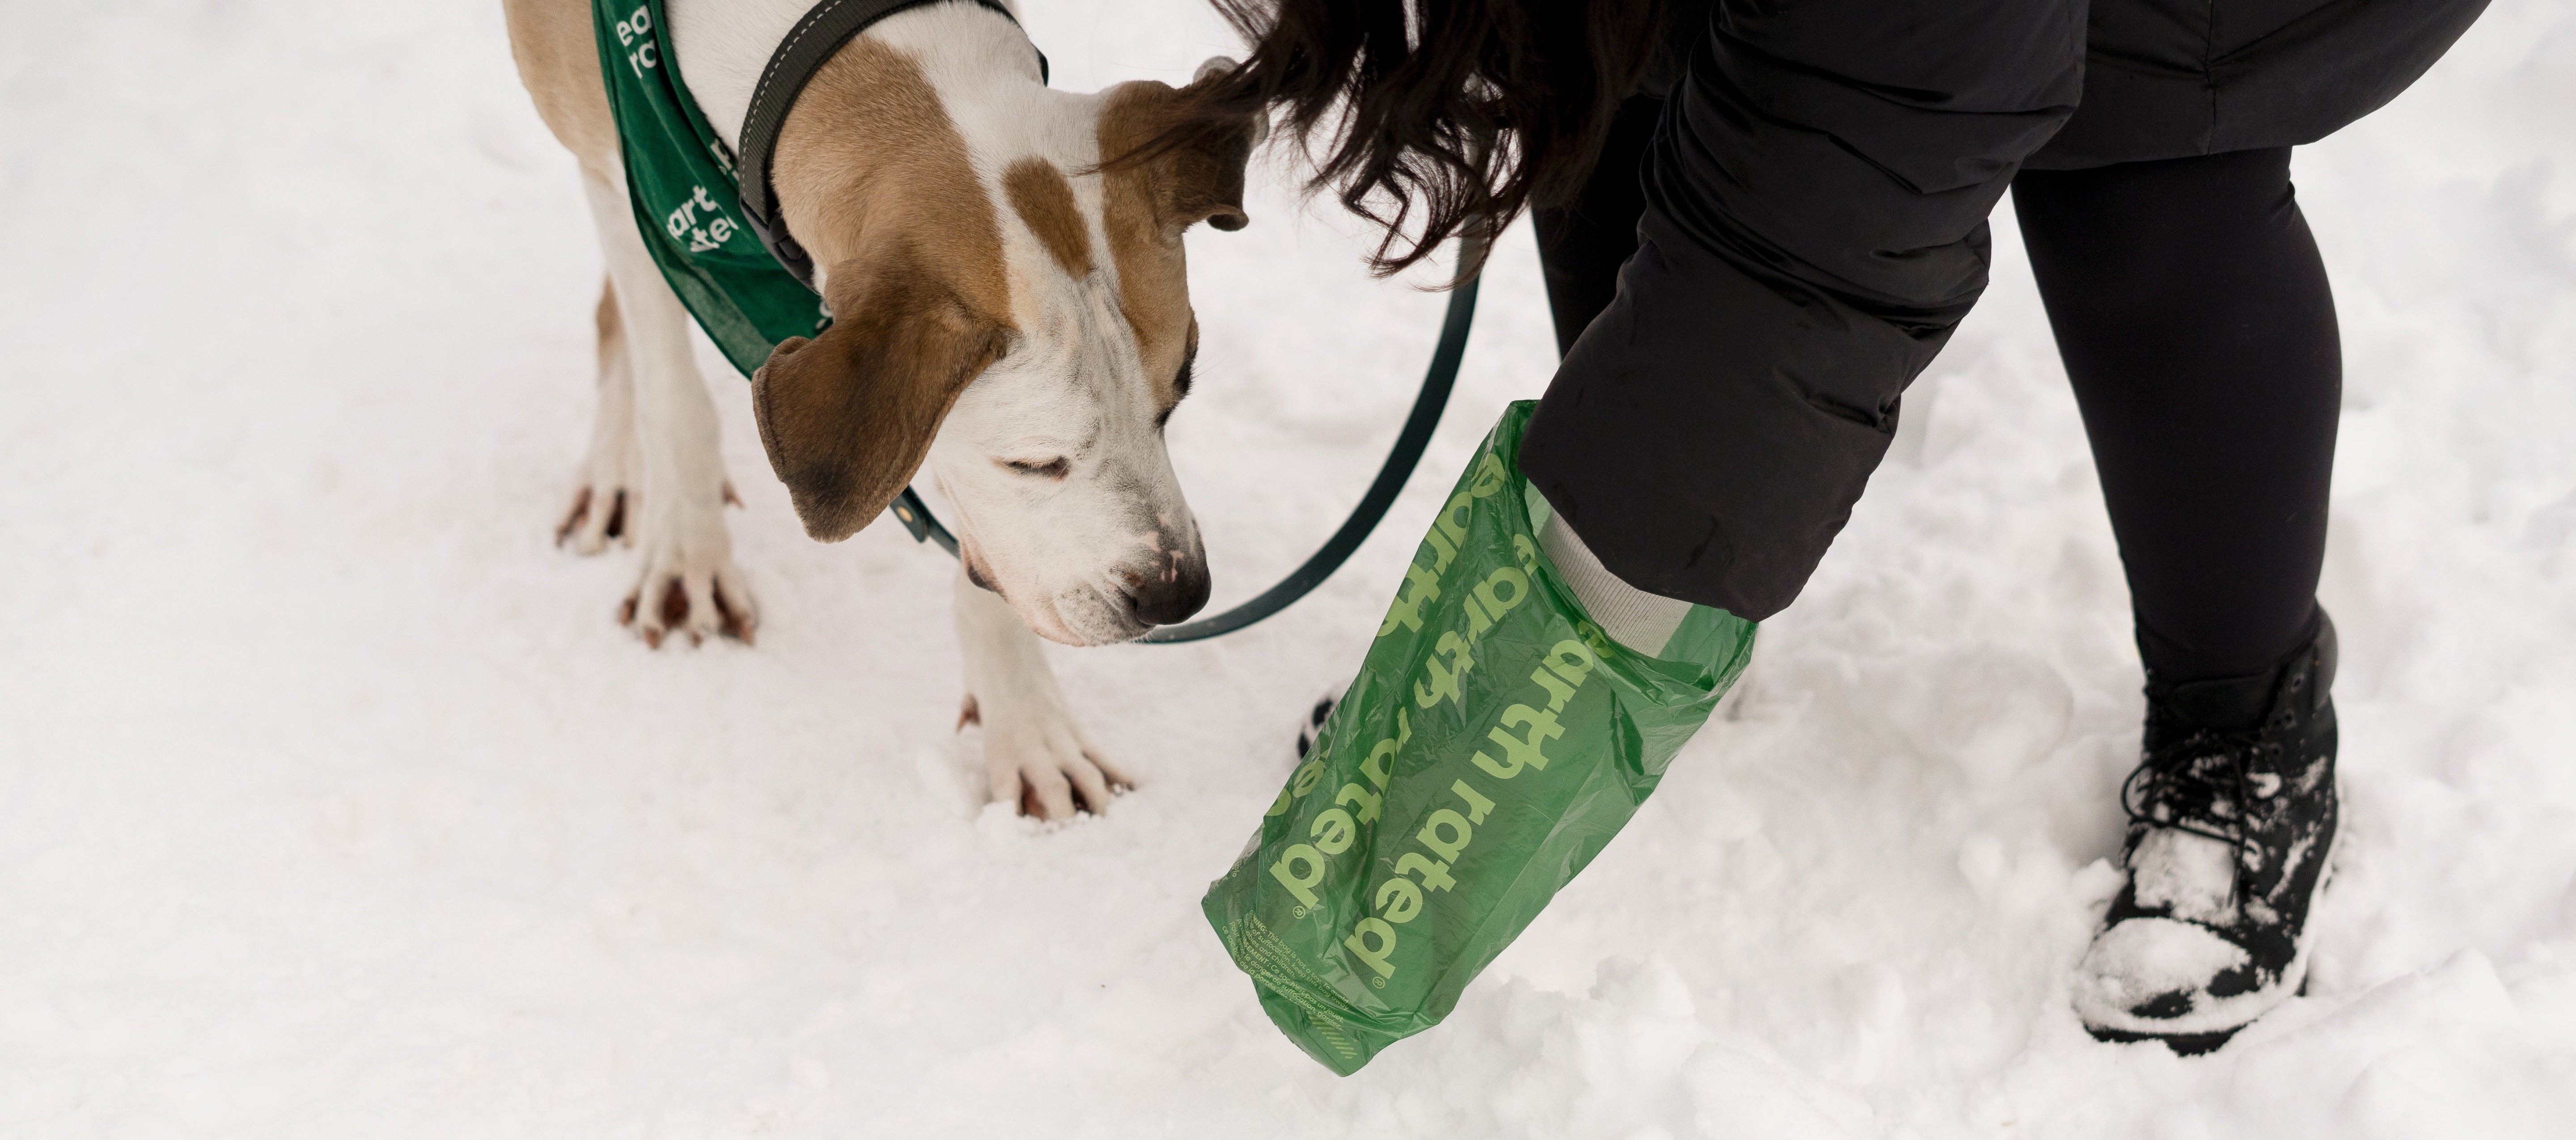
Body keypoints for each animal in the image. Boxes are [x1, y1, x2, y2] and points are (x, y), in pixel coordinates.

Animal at [500, 0, 1257, 823]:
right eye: (1033, 461)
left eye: (1174, 401)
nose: (1179, 593)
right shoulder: (627, 172)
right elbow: (674, 393)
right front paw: (688, 561)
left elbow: (989, 553)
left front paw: (1029, 730)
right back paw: (620, 478)